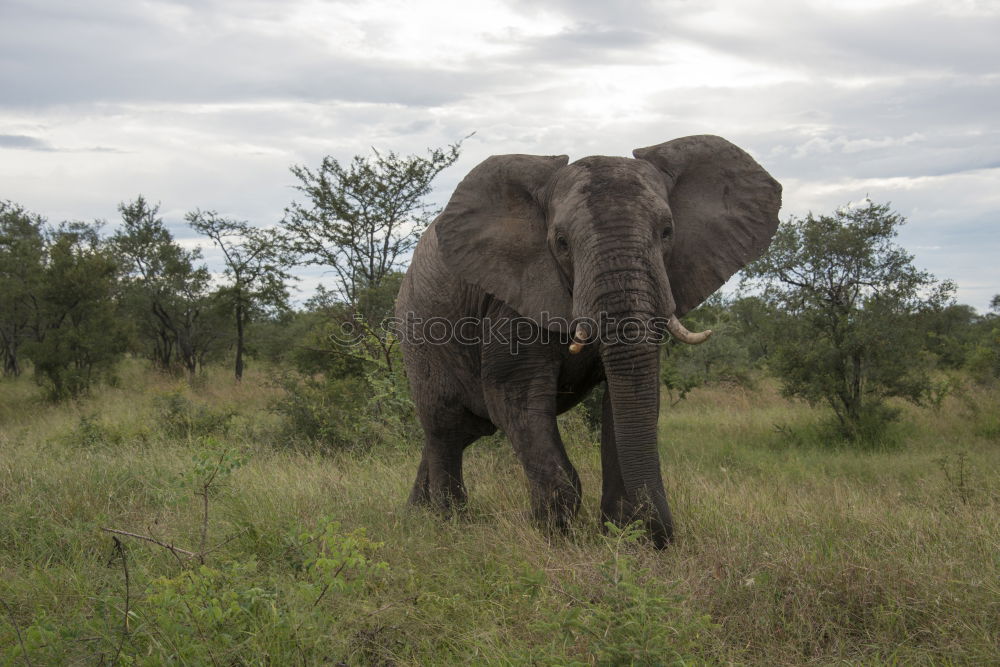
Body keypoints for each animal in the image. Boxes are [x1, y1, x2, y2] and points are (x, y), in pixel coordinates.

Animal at [392, 136, 780, 548]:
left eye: (667, 232)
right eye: (561, 242)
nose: (659, 538)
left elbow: (628, 395)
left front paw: (622, 534)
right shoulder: (514, 296)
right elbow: (515, 396)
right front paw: (554, 537)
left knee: (457, 431)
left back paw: (416, 515)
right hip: (420, 332)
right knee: (445, 426)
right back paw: (448, 524)